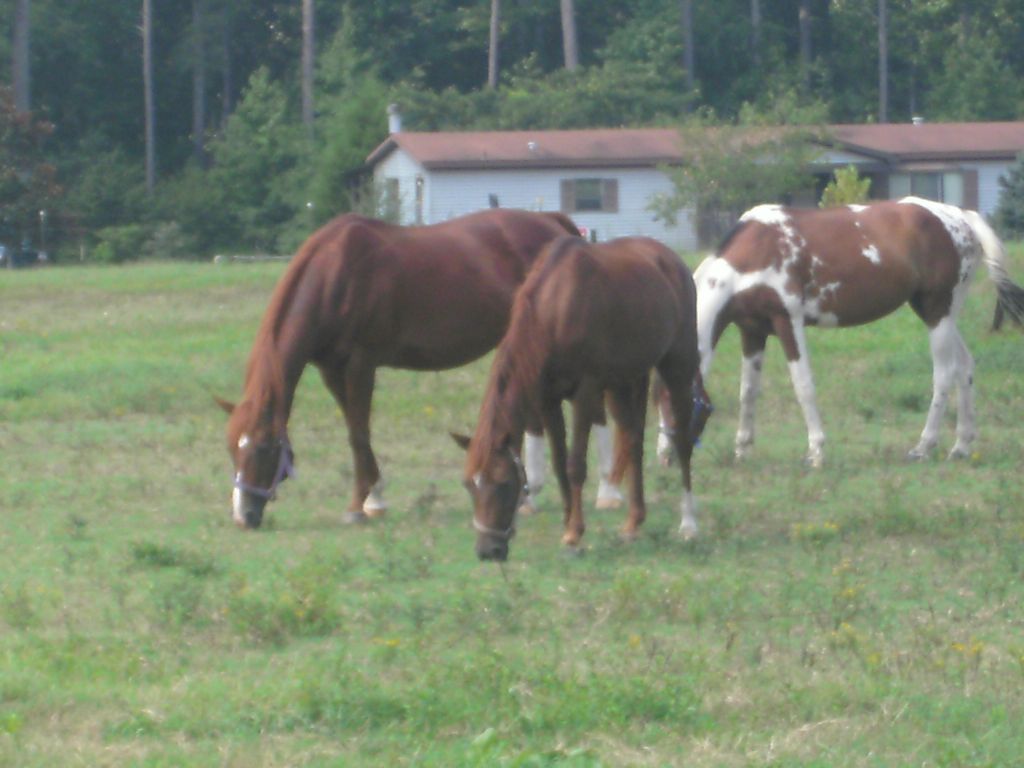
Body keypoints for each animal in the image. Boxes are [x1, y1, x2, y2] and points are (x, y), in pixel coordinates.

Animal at [218, 208, 622, 528]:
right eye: (232, 448)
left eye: (264, 448)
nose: (243, 517)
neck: (336, 275)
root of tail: (551, 222)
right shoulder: (331, 370)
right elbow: (355, 430)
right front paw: (375, 497)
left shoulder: (361, 364)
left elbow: (359, 433)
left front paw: (357, 506)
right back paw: (529, 497)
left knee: (594, 412)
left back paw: (607, 491)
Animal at [458, 231, 712, 561]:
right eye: (469, 484)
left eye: (503, 483)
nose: (488, 550)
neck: (555, 309)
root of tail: (671, 260)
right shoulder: (548, 400)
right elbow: (558, 463)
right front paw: (568, 523)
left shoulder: (586, 393)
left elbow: (575, 465)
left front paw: (575, 532)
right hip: (626, 381)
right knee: (633, 441)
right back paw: (633, 522)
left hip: (676, 367)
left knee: (682, 443)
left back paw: (689, 524)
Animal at [696, 195, 1024, 466]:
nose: (677, 459)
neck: (756, 251)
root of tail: (962, 217)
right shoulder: (752, 331)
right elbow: (748, 391)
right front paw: (742, 450)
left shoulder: (788, 322)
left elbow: (804, 386)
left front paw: (816, 451)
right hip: (940, 313)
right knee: (965, 366)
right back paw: (961, 446)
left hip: (937, 312)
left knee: (944, 374)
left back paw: (923, 447)